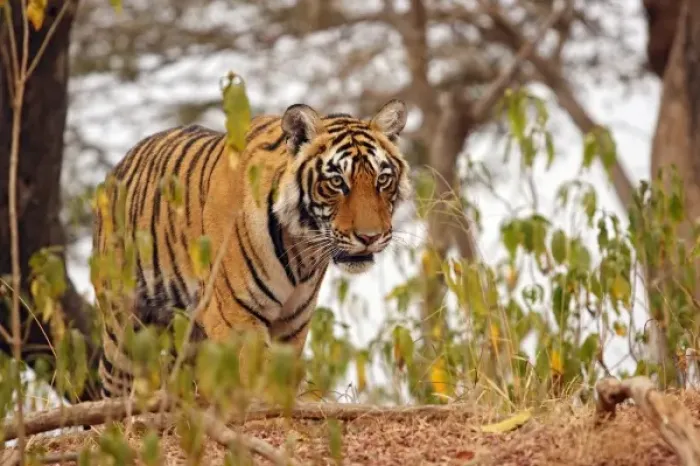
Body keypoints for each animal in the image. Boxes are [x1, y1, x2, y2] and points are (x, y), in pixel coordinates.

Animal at [91, 99, 411, 398]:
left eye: (382, 180)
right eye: (336, 182)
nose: (370, 237)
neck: (302, 247)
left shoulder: (293, 324)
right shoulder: (236, 317)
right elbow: (260, 377)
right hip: (124, 326)